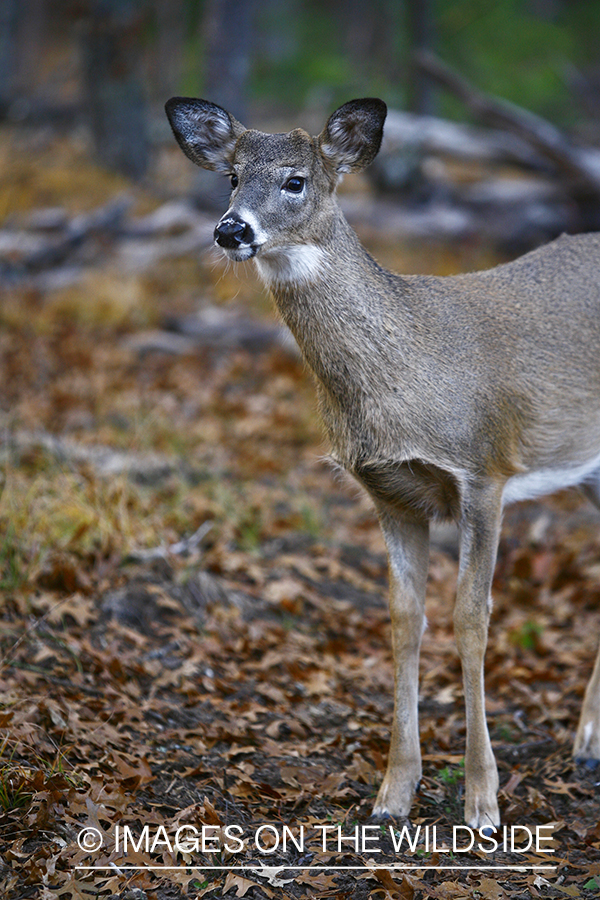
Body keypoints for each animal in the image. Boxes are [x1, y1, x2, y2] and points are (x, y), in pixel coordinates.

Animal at [164, 96, 600, 828]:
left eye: (296, 180)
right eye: (230, 177)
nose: (230, 230)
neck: (405, 378)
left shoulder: (484, 470)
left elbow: (471, 619)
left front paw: (482, 800)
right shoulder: (389, 492)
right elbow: (404, 621)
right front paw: (394, 792)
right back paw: (588, 742)